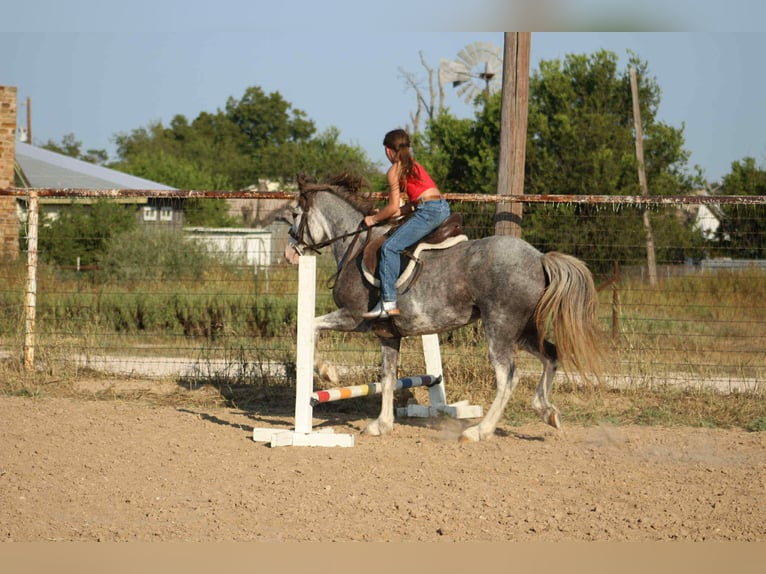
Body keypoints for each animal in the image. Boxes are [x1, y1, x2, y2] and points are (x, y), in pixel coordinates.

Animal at [285, 174, 602, 442]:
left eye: (295, 214)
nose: (290, 254)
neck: (356, 245)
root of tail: (538, 258)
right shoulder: (387, 334)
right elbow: (387, 378)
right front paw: (382, 425)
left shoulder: (353, 318)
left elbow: (312, 325)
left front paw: (327, 371)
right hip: (524, 330)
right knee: (551, 355)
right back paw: (546, 411)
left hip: (500, 328)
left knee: (507, 377)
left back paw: (479, 431)